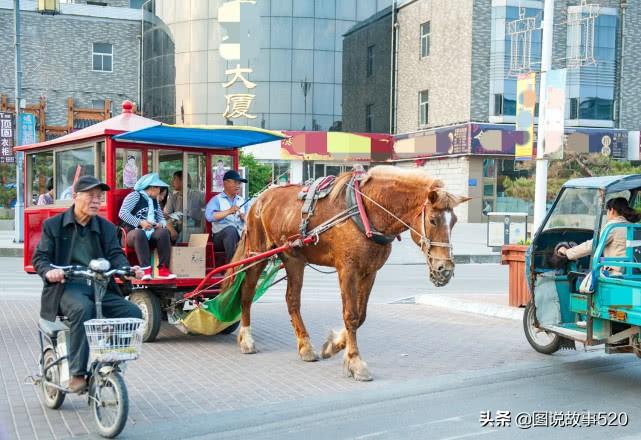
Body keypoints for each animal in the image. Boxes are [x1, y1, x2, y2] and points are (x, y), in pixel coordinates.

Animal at [228, 167, 468, 380]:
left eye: (454, 222)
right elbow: (350, 315)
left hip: (294, 259)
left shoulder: (370, 272)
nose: (445, 269)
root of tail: (259, 199)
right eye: (433, 220)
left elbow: (361, 316)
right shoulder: (348, 269)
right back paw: (246, 338)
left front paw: (334, 345)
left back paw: (305, 346)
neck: (366, 210)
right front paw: (355, 361)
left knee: (292, 300)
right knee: (247, 293)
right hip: (257, 254)